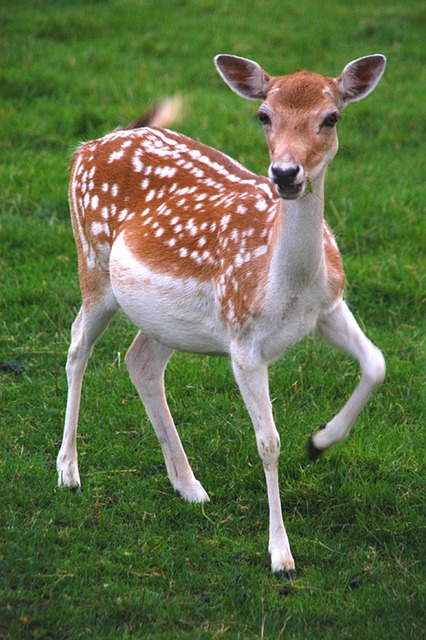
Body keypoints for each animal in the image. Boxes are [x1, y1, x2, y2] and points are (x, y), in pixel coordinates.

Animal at [58, 55, 388, 576]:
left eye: (331, 117)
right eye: (264, 115)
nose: (285, 173)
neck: (287, 285)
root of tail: (88, 146)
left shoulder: (329, 307)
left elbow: (376, 363)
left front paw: (319, 442)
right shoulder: (243, 341)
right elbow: (268, 441)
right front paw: (281, 555)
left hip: (162, 318)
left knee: (140, 361)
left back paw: (188, 485)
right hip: (92, 265)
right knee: (76, 347)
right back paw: (68, 470)